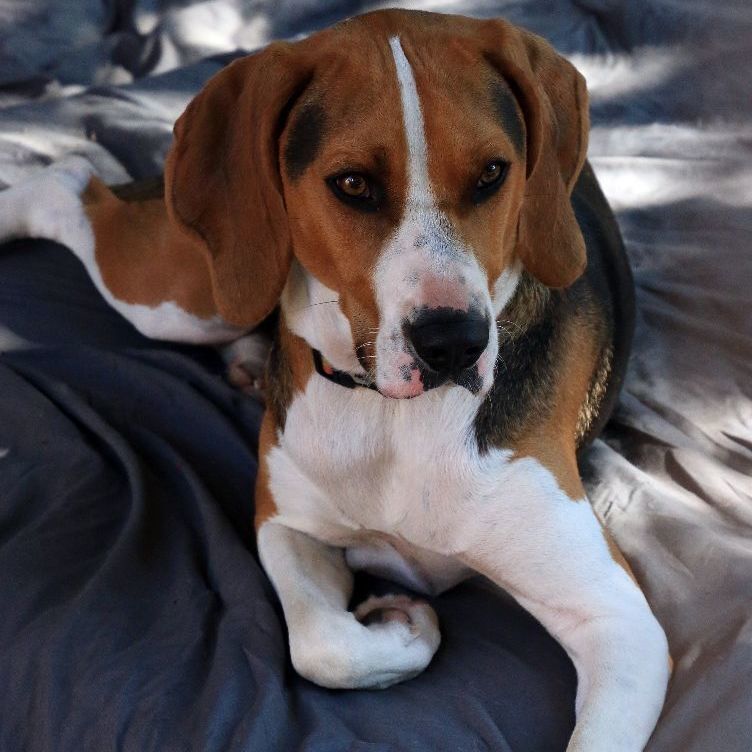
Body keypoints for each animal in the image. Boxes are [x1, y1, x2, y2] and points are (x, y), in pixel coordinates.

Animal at [0, 8, 668, 748]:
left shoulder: (621, 625)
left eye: (494, 174)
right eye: (352, 184)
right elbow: (321, 647)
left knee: (75, 179)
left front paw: (402, 624)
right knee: (68, 183)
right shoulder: (284, 521)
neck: (390, 413)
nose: (454, 345)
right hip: (187, 296)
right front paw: (407, 629)